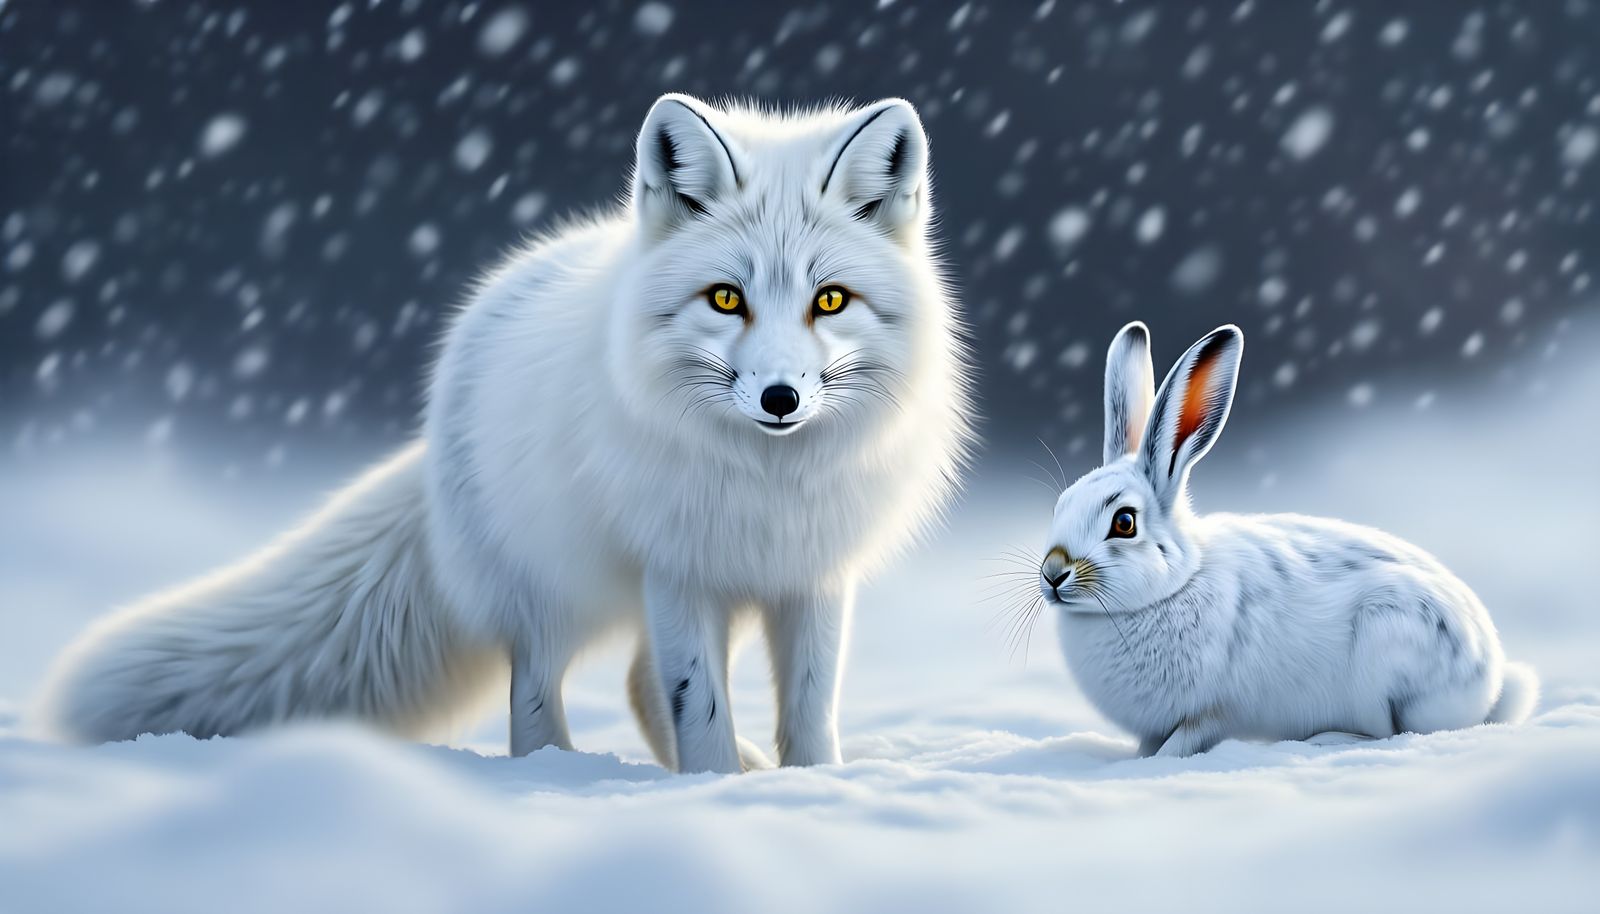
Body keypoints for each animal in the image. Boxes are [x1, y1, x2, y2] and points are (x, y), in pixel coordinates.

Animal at [35, 94, 975, 773]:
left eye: (830, 300)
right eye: (725, 298)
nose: (780, 397)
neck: (769, 484)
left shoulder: (809, 573)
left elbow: (807, 713)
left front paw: (806, 790)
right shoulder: (678, 567)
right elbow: (696, 703)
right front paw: (714, 791)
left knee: (635, 682)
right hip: (551, 592)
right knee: (539, 692)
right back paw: (551, 780)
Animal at [1037, 321, 1538, 757]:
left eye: (1124, 522)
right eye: (1060, 506)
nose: (1054, 573)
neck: (1173, 585)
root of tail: (1489, 685)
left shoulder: (1214, 712)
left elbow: (1185, 742)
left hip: (1387, 647)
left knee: (1389, 731)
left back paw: (1327, 740)